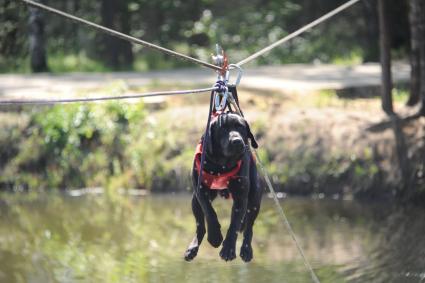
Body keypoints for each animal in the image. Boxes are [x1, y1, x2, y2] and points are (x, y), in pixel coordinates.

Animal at [185, 112, 262, 262]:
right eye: (223, 129)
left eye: (241, 127)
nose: (237, 141)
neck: (222, 165)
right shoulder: (200, 191)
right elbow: (210, 212)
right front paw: (214, 236)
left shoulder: (241, 198)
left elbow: (234, 225)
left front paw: (228, 249)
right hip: (194, 201)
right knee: (200, 226)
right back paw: (193, 247)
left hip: (255, 198)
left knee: (249, 227)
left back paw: (246, 250)